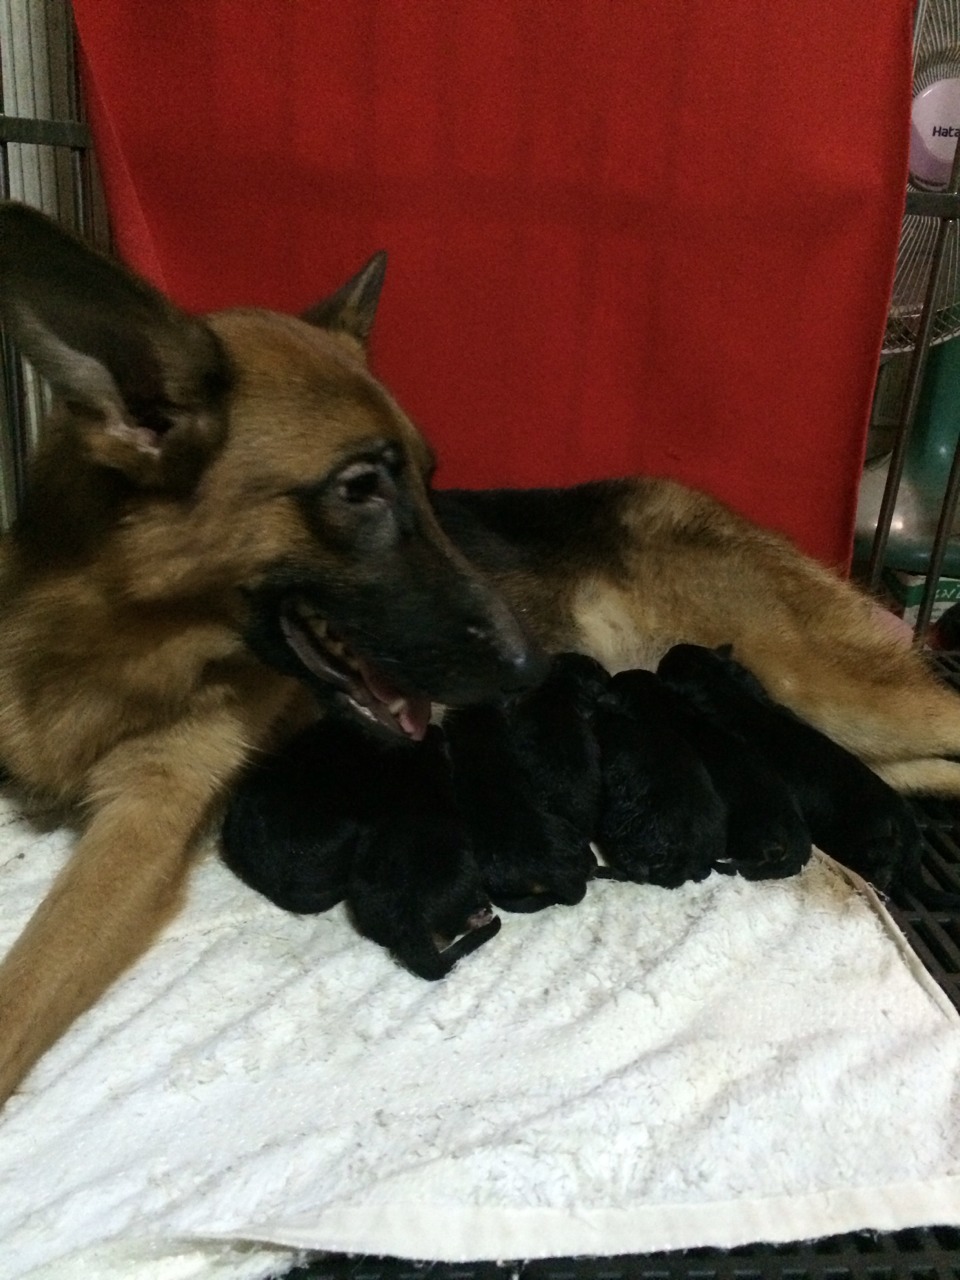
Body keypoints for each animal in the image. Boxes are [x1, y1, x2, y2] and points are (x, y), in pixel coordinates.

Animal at [2, 202, 960, 1104]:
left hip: (834, 688)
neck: (107, 640)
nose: (530, 665)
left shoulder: (146, 820)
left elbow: (29, 986)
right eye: (360, 489)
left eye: (430, 484)